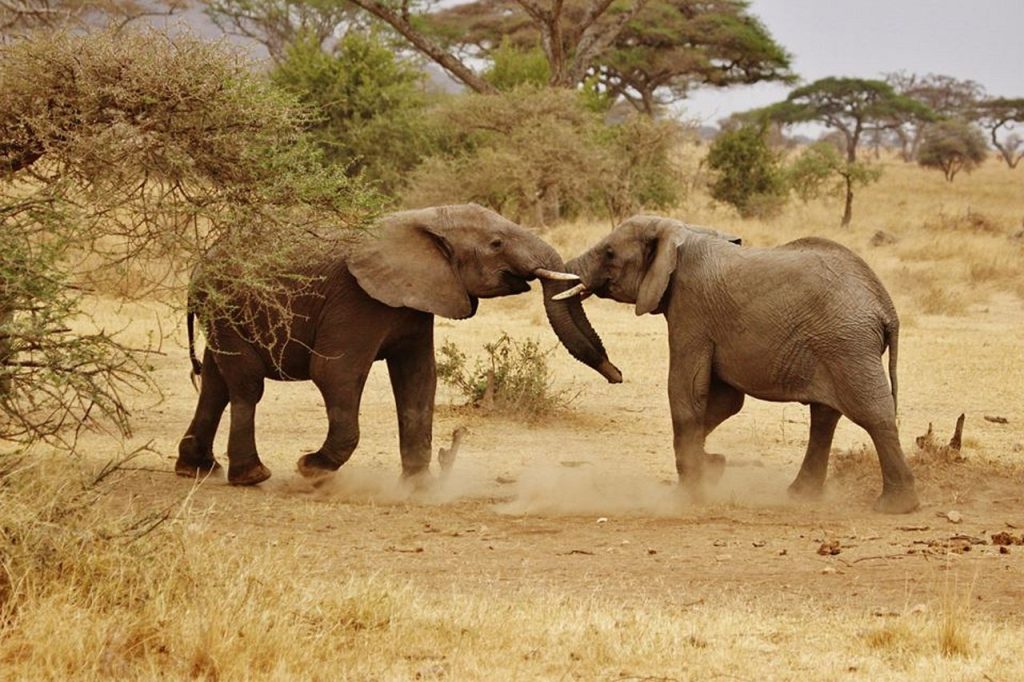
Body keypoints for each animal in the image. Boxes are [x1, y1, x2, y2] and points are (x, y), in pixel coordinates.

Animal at [176, 204, 622, 486]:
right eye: (496, 244)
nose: (616, 374)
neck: (421, 219)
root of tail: (200, 265)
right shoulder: (356, 299)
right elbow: (335, 373)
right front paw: (310, 469)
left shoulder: (418, 300)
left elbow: (419, 379)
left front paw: (419, 485)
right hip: (227, 305)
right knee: (246, 385)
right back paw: (252, 477)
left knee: (215, 382)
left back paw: (196, 470)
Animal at [558, 215, 919, 514]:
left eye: (609, 253)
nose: (616, 375)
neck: (682, 231)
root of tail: (887, 308)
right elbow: (725, 402)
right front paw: (713, 466)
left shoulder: (690, 310)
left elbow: (686, 393)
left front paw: (687, 494)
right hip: (835, 345)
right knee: (825, 416)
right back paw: (800, 496)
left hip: (847, 344)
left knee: (873, 414)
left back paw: (895, 507)